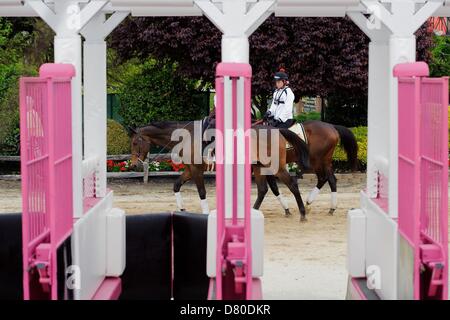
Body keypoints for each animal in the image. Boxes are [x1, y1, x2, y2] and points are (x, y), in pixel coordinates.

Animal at [126, 120, 312, 220]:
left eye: (135, 142)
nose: (134, 164)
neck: (186, 137)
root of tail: (276, 130)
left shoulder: (196, 171)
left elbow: (201, 192)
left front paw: (205, 213)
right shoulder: (189, 170)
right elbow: (176, 185)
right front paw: (182, 209)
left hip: (275, 167)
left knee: (291, 184)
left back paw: (303, 213)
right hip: (259, 167)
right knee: (263, 189)